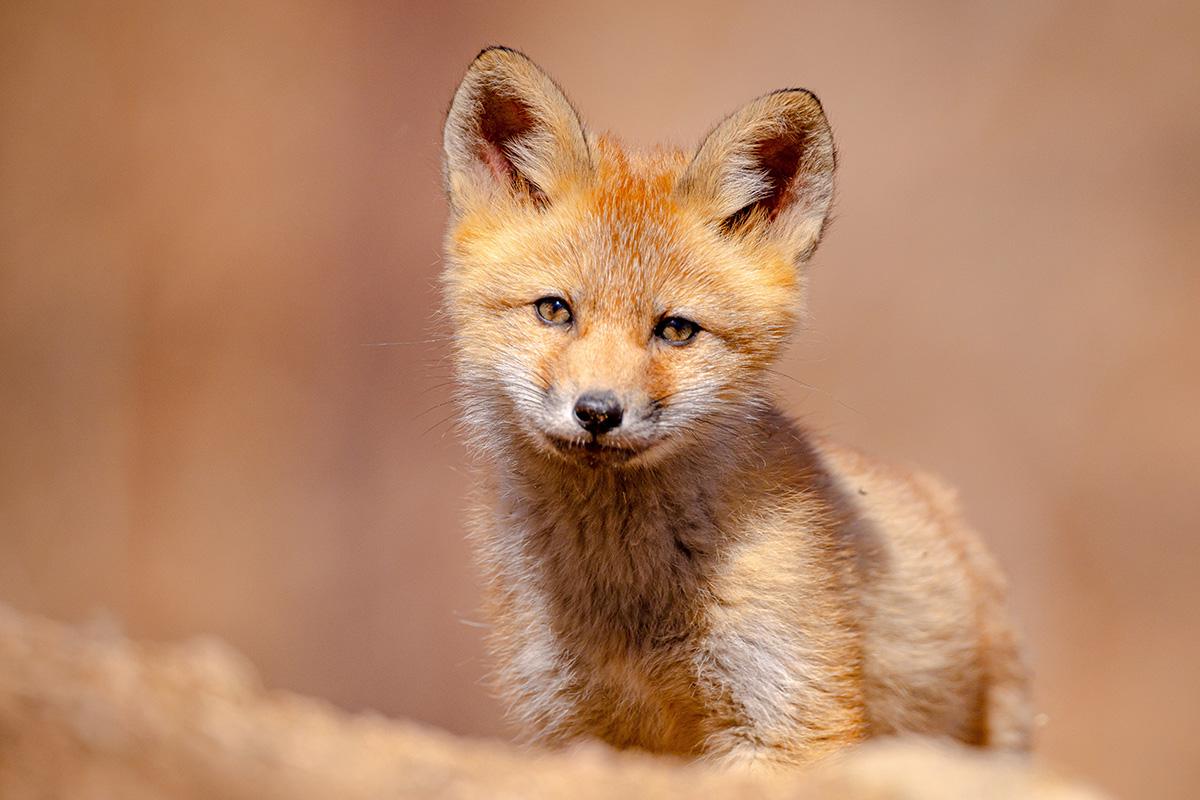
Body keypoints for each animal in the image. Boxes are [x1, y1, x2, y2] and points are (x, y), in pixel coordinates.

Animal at [439, 46, 1032, 768]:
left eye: (676, 330)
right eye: (554, 310)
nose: (598, 412)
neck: (629, 602)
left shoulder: (789, 711)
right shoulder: (574, 721)